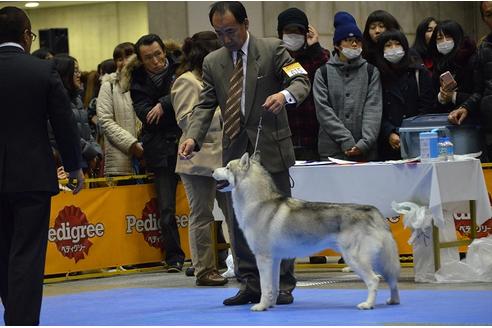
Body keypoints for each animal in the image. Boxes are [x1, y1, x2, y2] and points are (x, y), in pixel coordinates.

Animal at [211, 152, 400, 312]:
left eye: (227, 167)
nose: (212, 170)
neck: (258, 203)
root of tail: (372, 210)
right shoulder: (275, 259)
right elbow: (273, 286)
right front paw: (271, 304)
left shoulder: (263, 258)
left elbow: (265, 287)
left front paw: (261, 306)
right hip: (378, 259)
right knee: (392, 280)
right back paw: (393, 301)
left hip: (356, 259)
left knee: (374, 280)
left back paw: (367, 304)